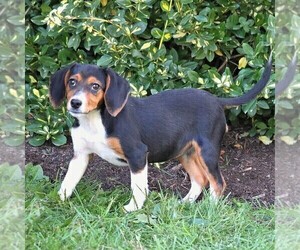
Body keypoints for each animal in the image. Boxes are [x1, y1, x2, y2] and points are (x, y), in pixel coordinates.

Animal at [49, 58, 272, 211]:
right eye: (72, 82)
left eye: (95, 86)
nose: (75, 103)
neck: (94, 120)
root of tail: (217, 100)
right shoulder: (80, 156)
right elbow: (68, 181)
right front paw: (57, 200)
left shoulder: (137, 154)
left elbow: (138, 187)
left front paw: (133, 209)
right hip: (186, 153)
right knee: (200, 179)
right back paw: (185, 203)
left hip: (207, 151)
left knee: (217, 182)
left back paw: (209, 208)